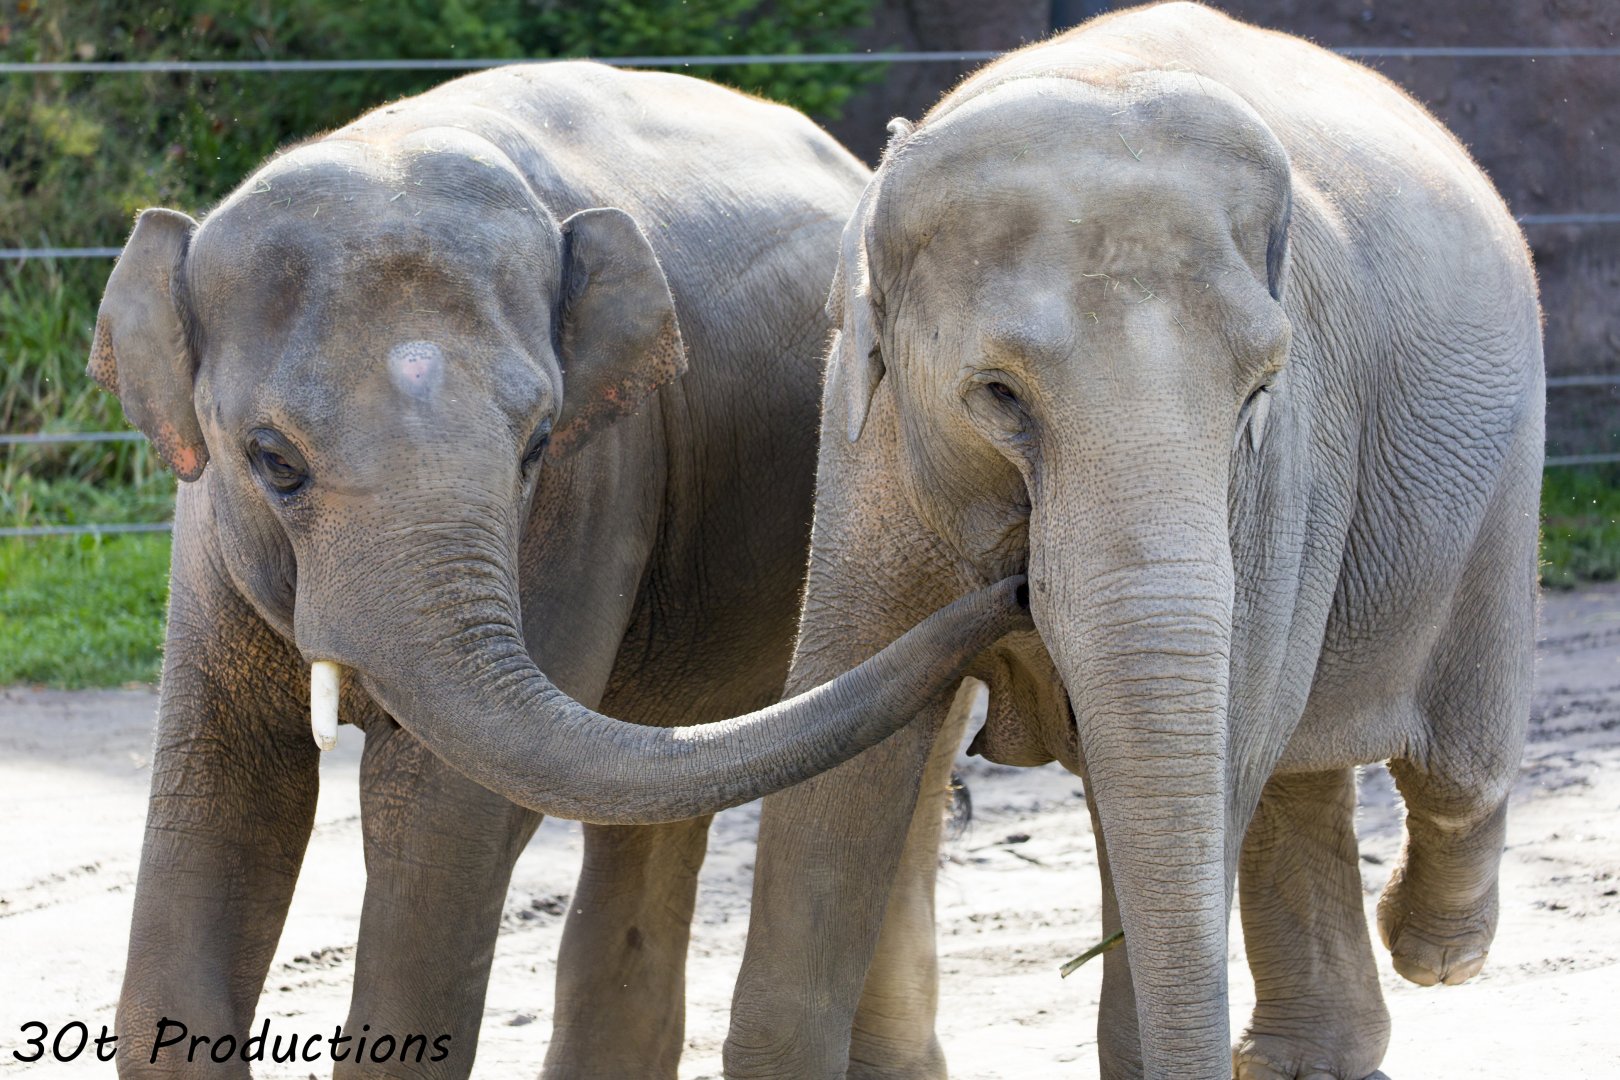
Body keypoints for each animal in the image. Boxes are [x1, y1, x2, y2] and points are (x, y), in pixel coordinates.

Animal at [88, 62, 1032, 1078]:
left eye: (538, 443)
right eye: (271, 459)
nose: (1018, 588)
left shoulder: (595, 490)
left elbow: (443, 810)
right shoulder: (204, 534)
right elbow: (221, 787)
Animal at [723, 4, 1543, 1078]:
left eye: (1260, 387)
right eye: (998, 394)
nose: (1012, 596)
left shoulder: (1282, 474)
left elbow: (1207, 758)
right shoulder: (868, 454)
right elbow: (843, 746)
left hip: (1501, 478)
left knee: (1450, 766)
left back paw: (1431, 946)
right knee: (1297, 778)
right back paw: (1314, 1051)